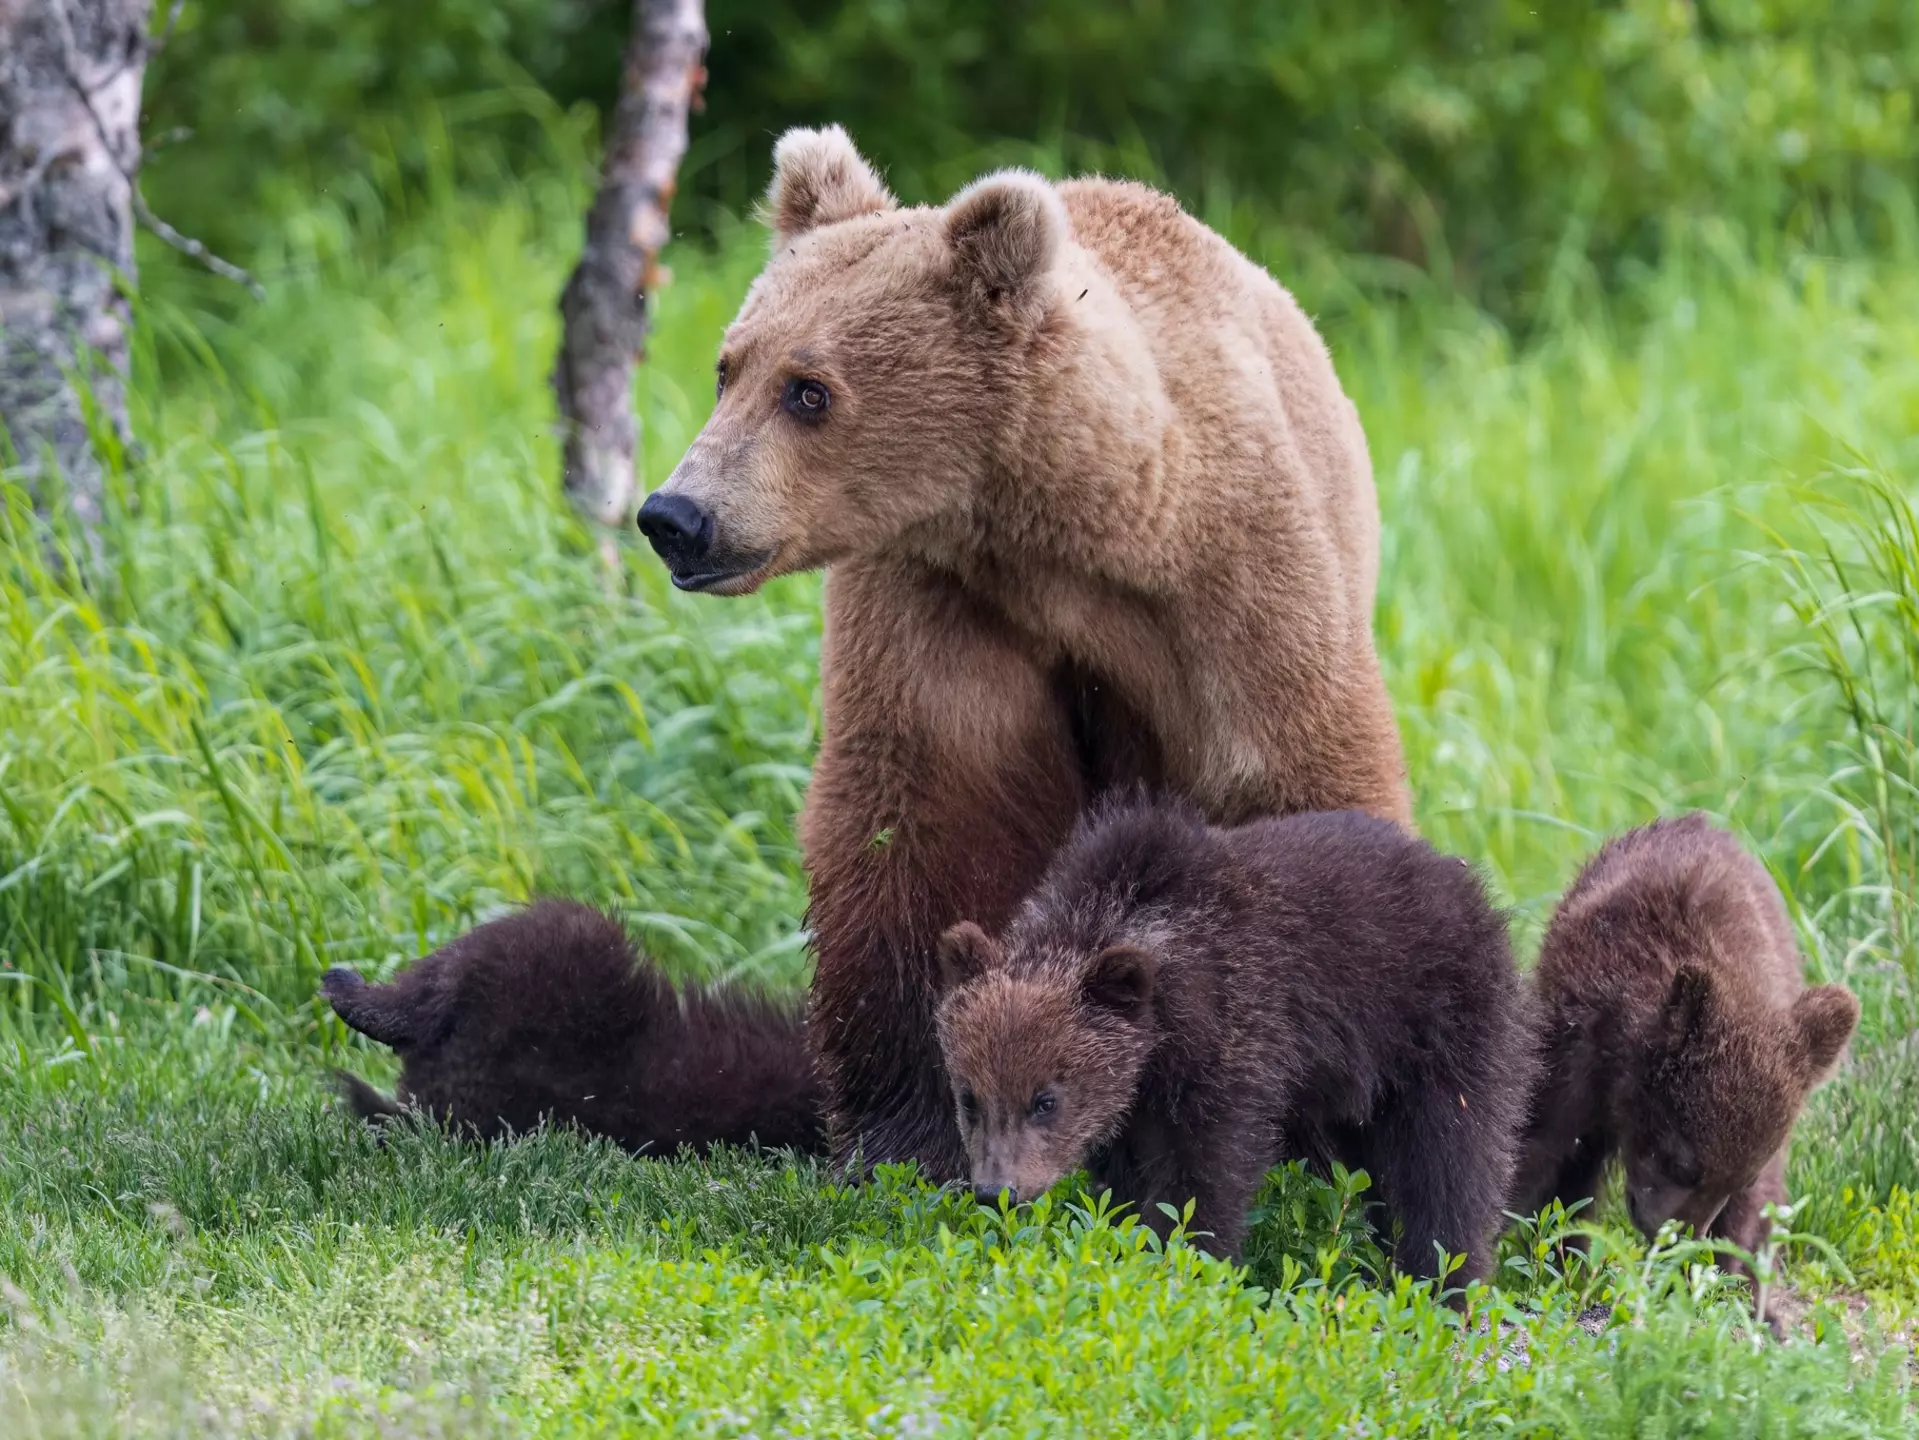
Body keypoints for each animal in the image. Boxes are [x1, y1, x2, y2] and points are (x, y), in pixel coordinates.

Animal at [635, 125, 1410, 1180]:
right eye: (728, 365)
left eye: (809, 390)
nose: (676, 516)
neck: (1085, 535)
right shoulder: (941, 597)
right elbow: (929, 813)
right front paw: (919, 1119)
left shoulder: (1238, 584)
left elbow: (1292, 774)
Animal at [930, 793, 1534, 1284]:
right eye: (969, 1097)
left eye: (1045, 1100)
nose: (996, 1190)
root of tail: (1467, 882)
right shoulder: (1136, 1095)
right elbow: (1125, 1178)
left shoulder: (1236, 1038)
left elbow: (1204, 1174)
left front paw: (1191, 1260)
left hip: (1438, 1022)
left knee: (1447, 1157)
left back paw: (1443, 1280)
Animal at [1511, 812, 1860, 1317]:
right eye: (1681, 1164)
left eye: (1737, 1179)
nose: (1682, 1241)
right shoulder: (1577, 1046)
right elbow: (1539, 1146)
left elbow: (1752, 1215)